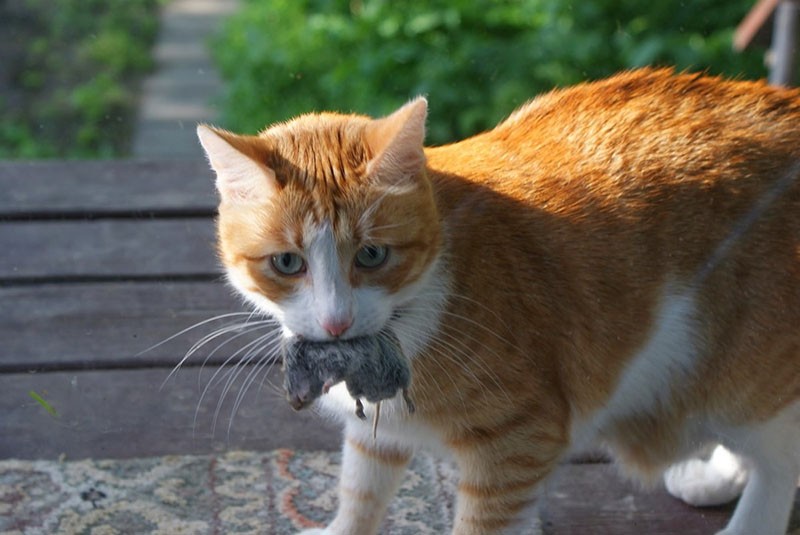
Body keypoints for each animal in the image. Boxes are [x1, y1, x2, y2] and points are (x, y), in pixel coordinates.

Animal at [198, 68, 800, 535]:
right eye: (287, 263)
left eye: (371, 255)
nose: (336, 322)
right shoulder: (379, 435)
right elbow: (360, 491)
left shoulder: (518, 441)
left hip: (745, 377)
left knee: (780, 460)